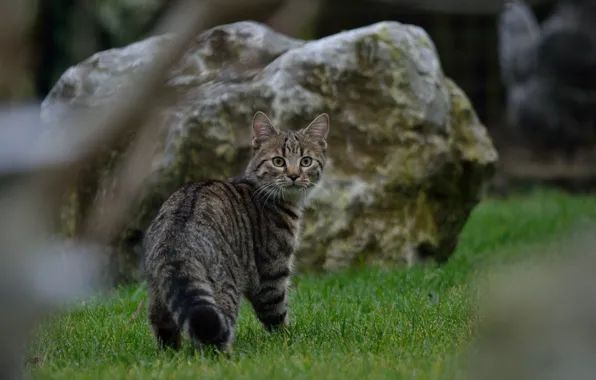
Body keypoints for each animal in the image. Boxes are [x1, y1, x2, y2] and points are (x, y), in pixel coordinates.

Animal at [143, 111, 330, 352]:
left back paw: (171, 353)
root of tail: (176, 241)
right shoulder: (272, 273)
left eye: (306, 161)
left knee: (162, 323)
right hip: (225, 288)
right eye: (278, 161)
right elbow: (277, 315)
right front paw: (289, 340)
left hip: (159, 290)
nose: (294, 175)